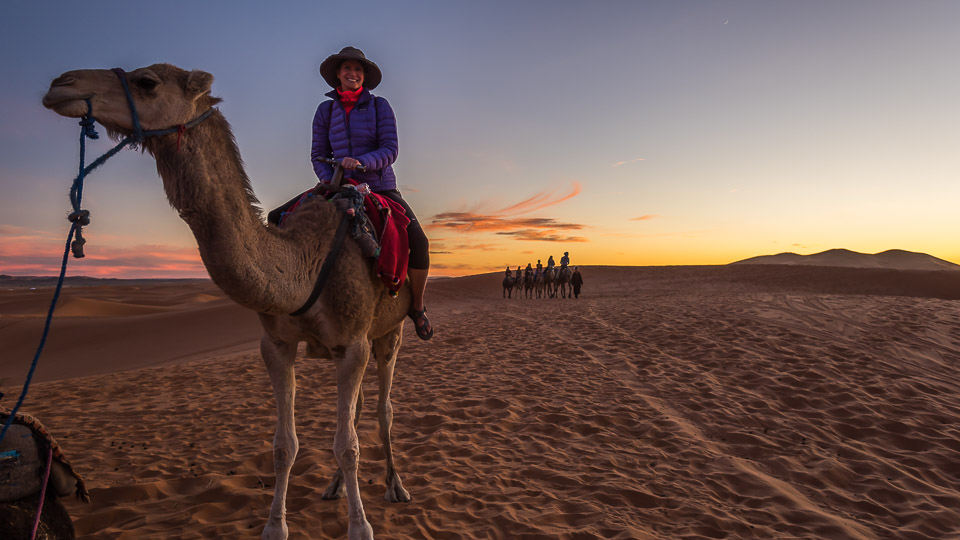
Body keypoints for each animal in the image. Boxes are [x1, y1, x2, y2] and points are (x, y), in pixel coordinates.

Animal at [42, 64, 412, 540]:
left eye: (147, 82)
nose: (62, 85)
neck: (302, 263)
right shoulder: (277, 344)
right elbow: (284, 445)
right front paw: (275, 526)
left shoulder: (354, 343)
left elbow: (347, 444)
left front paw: (361, 527)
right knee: (362, 409)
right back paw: (333, 488)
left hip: (390, 332)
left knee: (383, 410)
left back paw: (395, 487)